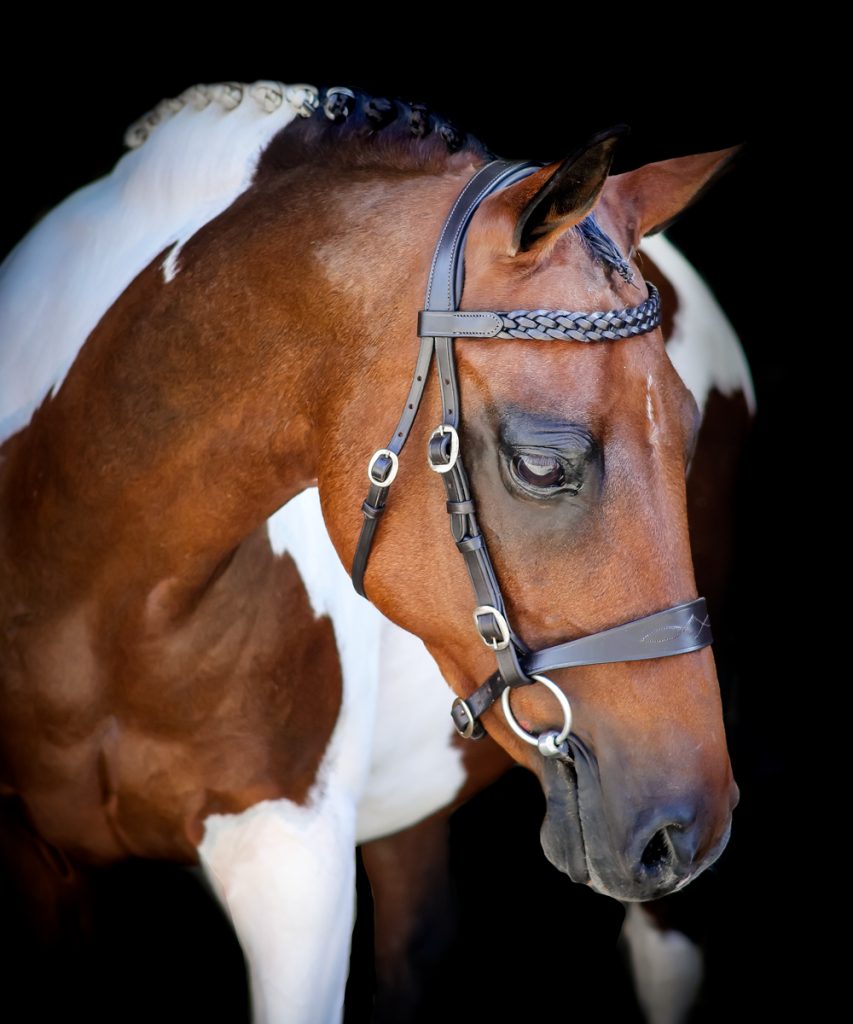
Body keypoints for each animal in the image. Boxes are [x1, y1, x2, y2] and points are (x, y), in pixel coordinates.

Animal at [0, 81, 745, 1024]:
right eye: (541, 465)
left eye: (686, 438)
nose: (687, 827)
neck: (89, 594)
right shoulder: (38, 862)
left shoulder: (293, 867)